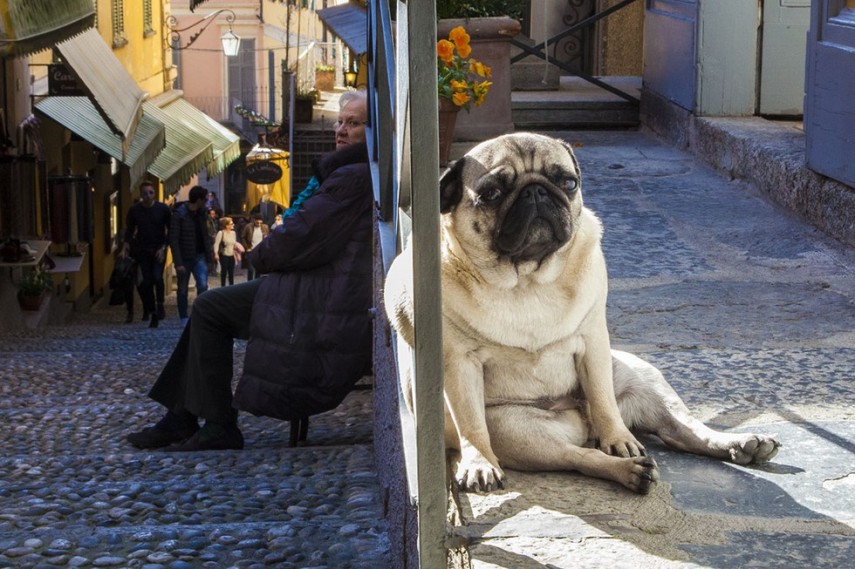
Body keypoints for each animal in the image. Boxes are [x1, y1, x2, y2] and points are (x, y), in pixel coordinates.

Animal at [388, 132, 784, 492]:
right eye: (491, 194)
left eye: (568, 182)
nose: (536, 192)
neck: (527, 280)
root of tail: (584, 425)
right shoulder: (459, 362)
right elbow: (471, 425)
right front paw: (479, 464)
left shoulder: (593, 340)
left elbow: (604, 399)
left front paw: (619, 440)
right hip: (516, 430)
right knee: (578, 456)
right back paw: (631, 472)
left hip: (642, 376)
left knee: (679, 429)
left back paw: (737, 444)